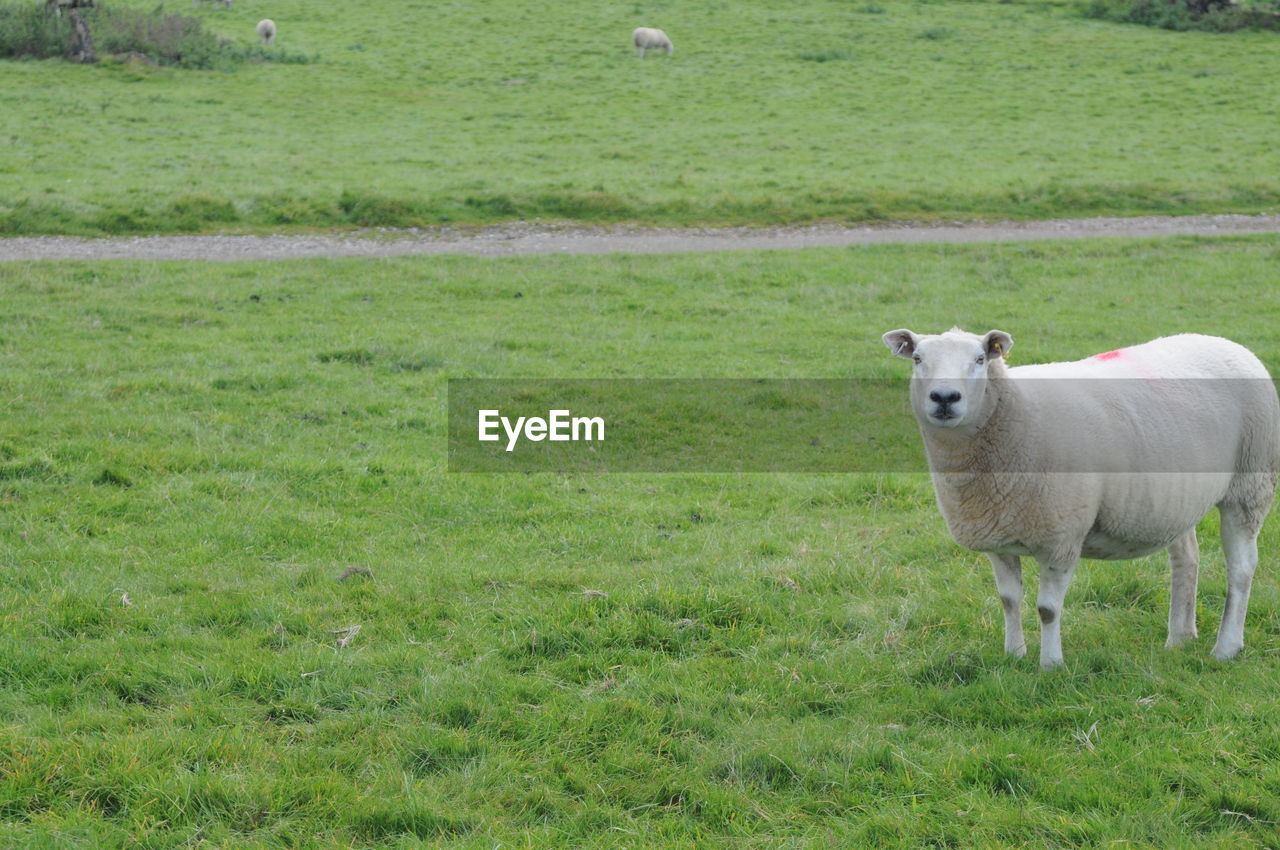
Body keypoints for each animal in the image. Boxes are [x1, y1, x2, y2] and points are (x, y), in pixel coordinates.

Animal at [880, 327, 1280, 665]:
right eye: (918, 359)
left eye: (980, 359)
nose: (945, 397)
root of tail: (1229, 345)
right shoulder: (998, 534)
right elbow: (1008, 600)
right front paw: (1014, 655)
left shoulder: (1061, 535)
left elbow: (1047, 609)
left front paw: (1050, 664)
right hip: (1177, 499)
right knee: (1187, 559)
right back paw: (1180, 638)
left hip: (1250, 484)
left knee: (1242, 567)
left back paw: (1226, 648)